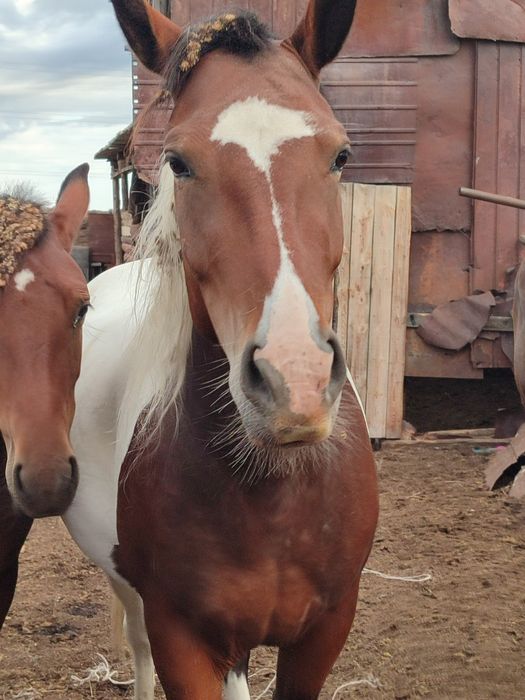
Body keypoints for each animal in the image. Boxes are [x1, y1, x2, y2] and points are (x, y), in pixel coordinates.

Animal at [63, 1, 379, 697]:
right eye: (178, 162)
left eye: (341, 154)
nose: (294, 383)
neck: (271, 495)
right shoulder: (182, 638)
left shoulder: (324, 633)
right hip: (128, 586)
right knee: (136, 646)